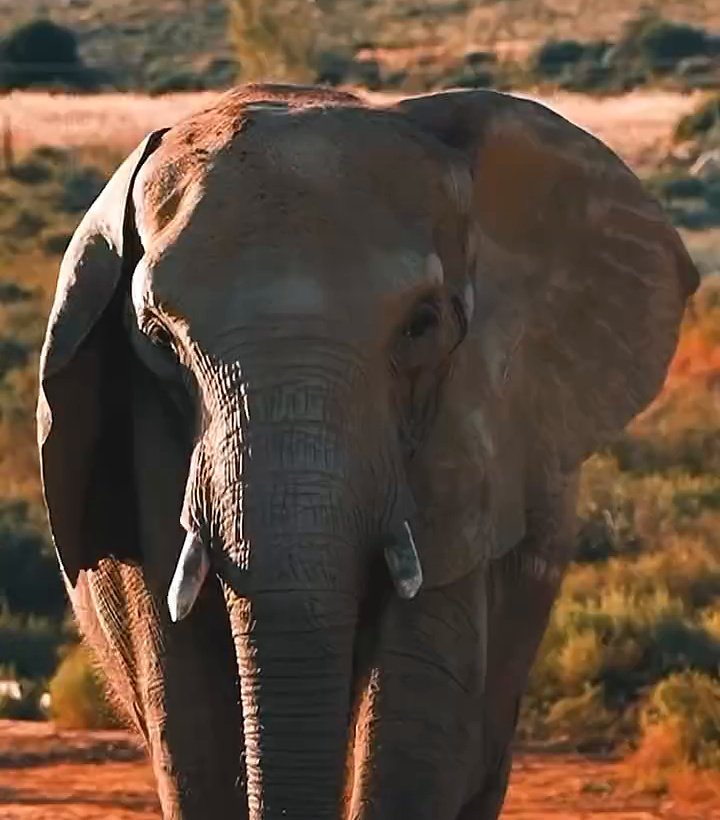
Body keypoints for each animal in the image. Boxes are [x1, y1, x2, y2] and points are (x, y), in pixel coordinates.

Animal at [37, 84, 698, 820]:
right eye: (157, 338)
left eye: (422, 325)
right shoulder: (144, 431)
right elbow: (190, 718)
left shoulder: (470, 436)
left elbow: (418, 708)